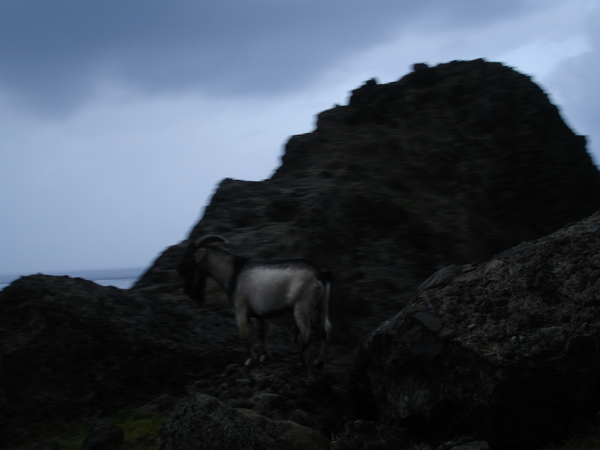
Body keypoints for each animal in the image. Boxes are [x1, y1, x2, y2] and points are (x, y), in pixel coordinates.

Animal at [178, 234, 332, 368]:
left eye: (190, 256)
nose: (180, 270)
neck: (233, 272)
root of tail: (319, 275)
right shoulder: (260, 315)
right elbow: (262, 335)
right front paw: (266, 357)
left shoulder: (241, 309)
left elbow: (247, 335)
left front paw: (251, 360)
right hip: (321, 306)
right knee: (322, 332)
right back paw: (318, 362)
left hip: (301, 308)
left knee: (307, 335)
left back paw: (301, 363)